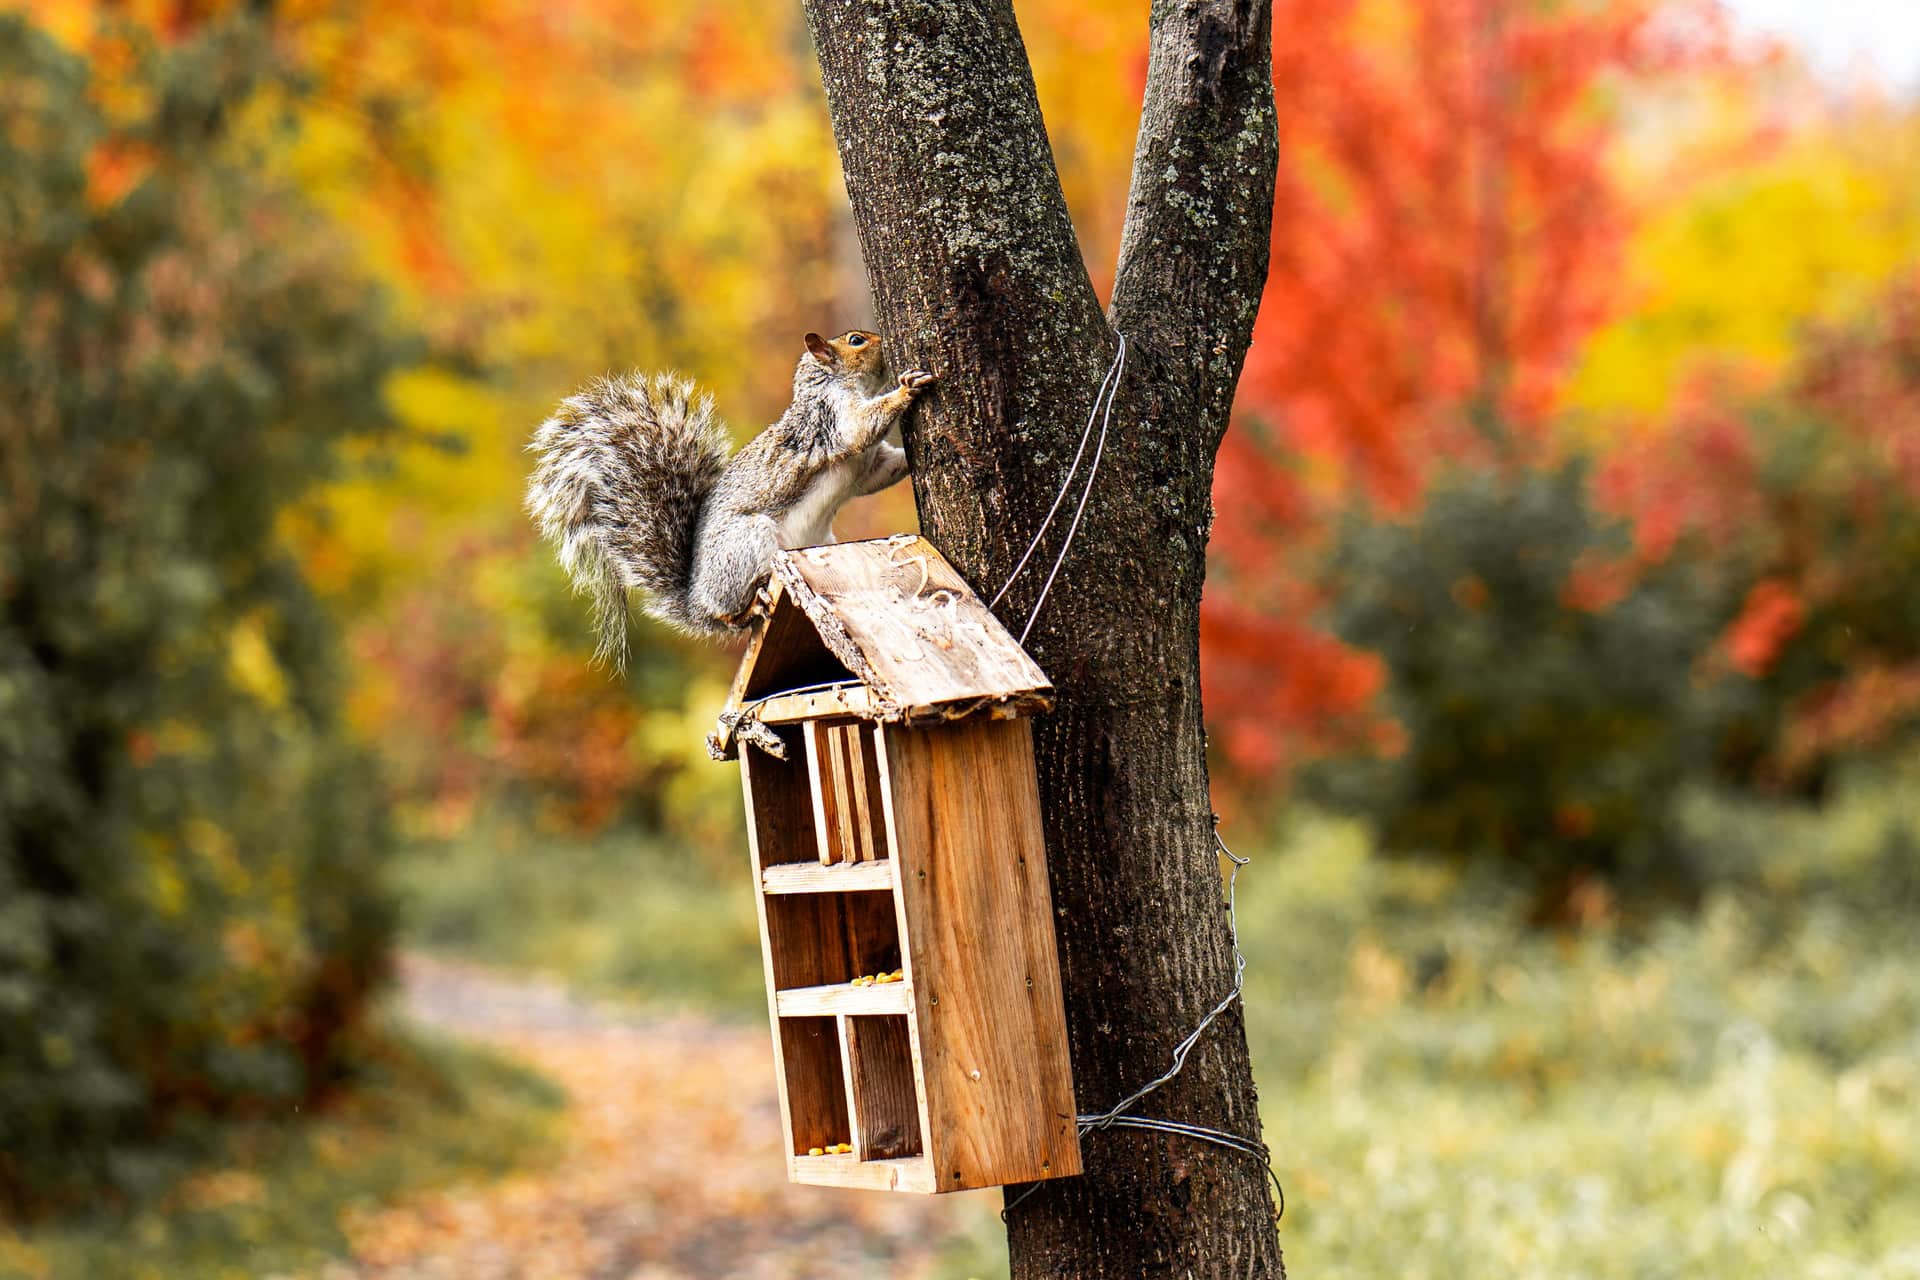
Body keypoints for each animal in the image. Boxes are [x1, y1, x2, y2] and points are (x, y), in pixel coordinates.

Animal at [525, 330, 934, 665]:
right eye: (856, 340)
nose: (882, 340)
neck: (830, 385)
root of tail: (695, 602)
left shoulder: (869, 468)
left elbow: (882, 469)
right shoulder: (832, 418)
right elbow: (861, 428)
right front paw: (906, 388)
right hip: (746, 543)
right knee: (728, 610)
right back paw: (749, 604)